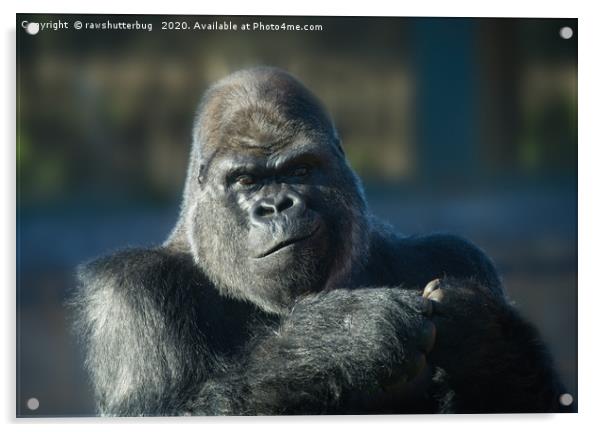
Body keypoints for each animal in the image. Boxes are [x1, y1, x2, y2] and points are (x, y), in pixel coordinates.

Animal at [70, 65, 568, 416]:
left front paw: (482, 336)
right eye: (247, 180)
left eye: (301, 170)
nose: (276, 206)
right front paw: (338, 339)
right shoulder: (128, 293)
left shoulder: (457, 255)